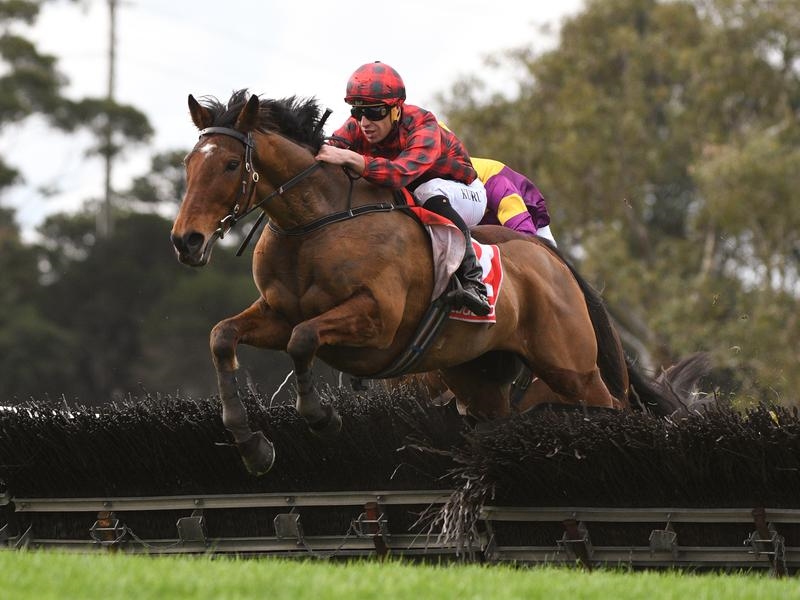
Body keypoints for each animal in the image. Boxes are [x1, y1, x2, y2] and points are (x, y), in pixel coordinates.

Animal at [171, 90, 708, 476]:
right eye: (188, 164)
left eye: (230, 164)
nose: (186, 240)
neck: (317, 223)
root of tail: (552, 261)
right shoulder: (278, 313)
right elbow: (223, 336)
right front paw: (251, 444)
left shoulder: (377, 321)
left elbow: (303, 340)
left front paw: (323, 419)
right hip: (481, 378)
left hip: (569, 366)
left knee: (614, 406)